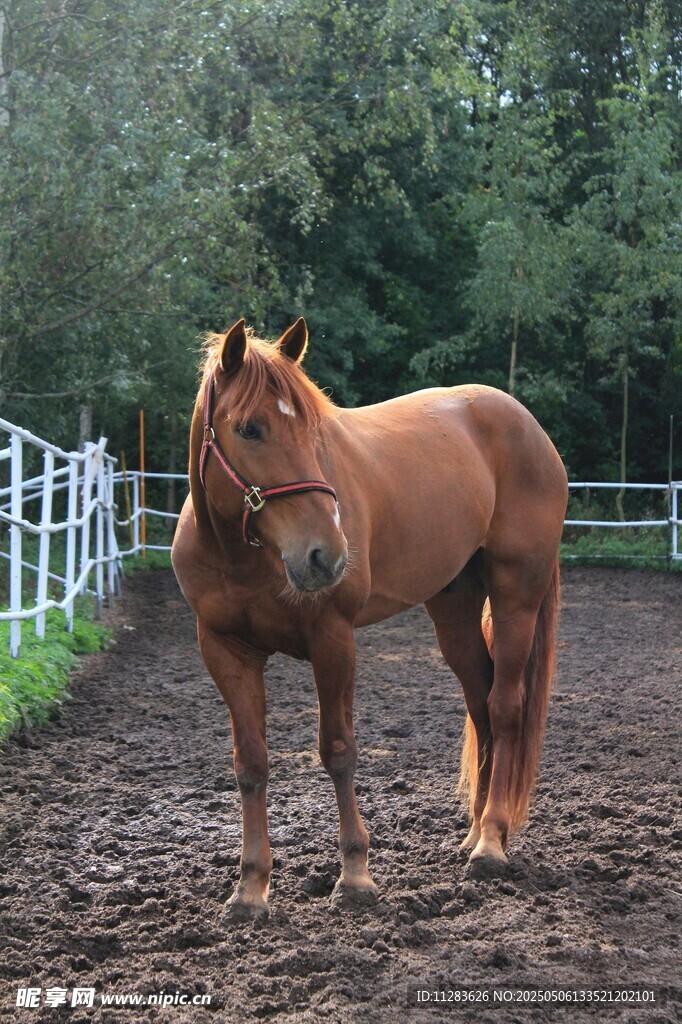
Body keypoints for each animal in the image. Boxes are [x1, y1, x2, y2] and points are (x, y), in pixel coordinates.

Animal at [171, 317, 568, 918]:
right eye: (249, 429)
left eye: (314, 430)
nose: (326, 555)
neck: (244, 554)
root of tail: (525, 422)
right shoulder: (225, 651)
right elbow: (251, 764)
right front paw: (250, 888)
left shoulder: (333, 641)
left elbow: (338, 751)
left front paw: (355, 876)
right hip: (453, 609)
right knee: (480, 704)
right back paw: (474, 832)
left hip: (515, 595)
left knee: (504, 708)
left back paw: (492, 843)